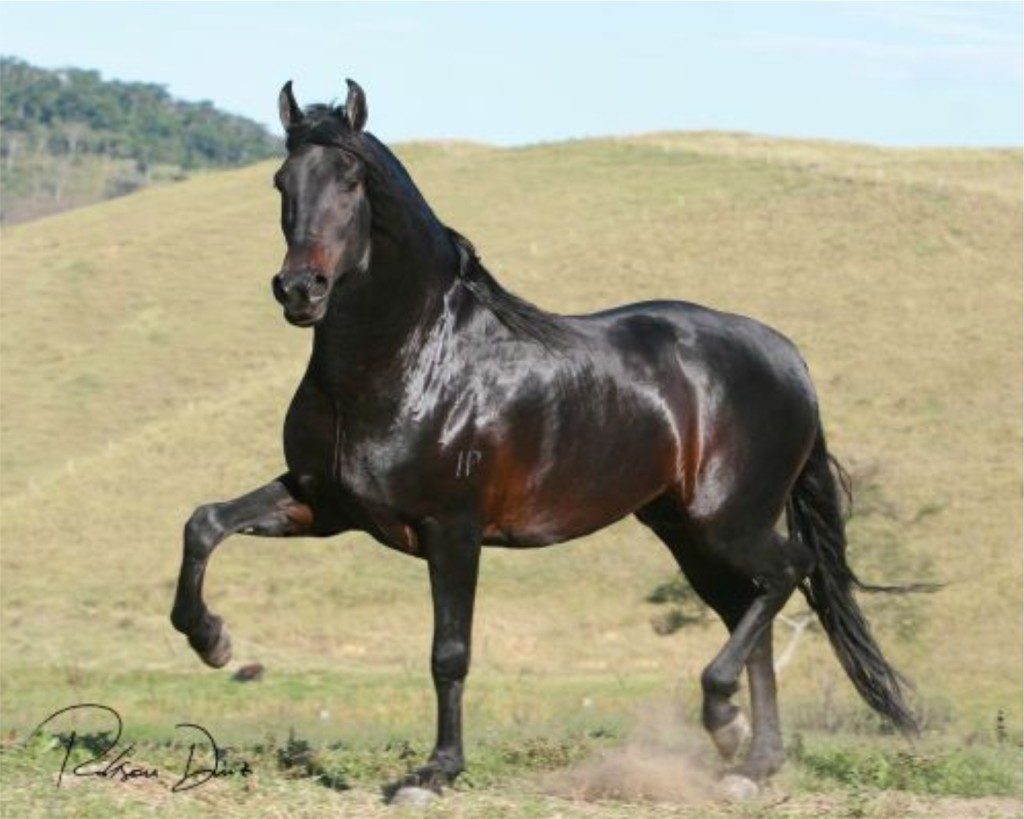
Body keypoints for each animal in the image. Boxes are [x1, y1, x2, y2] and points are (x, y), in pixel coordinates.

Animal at [169, 78, 921, 798]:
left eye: (351, 179)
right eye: (282, 181)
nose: (301, 290)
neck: (410, 358)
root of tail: (789, 358)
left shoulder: (452, 528)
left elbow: (449, 652)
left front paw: (434, 773)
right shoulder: (323, 504)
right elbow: (205, 522)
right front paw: (212, 640)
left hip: (726, 522)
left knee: (788, 571)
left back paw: (723, 719)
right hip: (684, 530)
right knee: (753, 603)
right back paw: (750, 760)